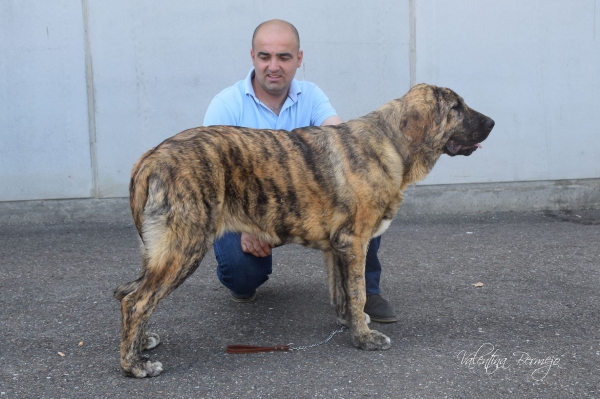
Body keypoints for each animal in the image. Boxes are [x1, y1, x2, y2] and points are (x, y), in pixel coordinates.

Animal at [115, 84, 494, 378]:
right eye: (456, 108)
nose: (492, 121)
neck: (391, 143)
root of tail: (151, 156)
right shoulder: (355, 241)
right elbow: (357, 291)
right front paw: (364, 338)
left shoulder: (338, 246)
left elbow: (343, 291)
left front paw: (349, 323)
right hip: (185, 245)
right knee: (136, 300)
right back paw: (134, 366)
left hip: (160, 250)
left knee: (128, 293)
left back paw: (140, 344)